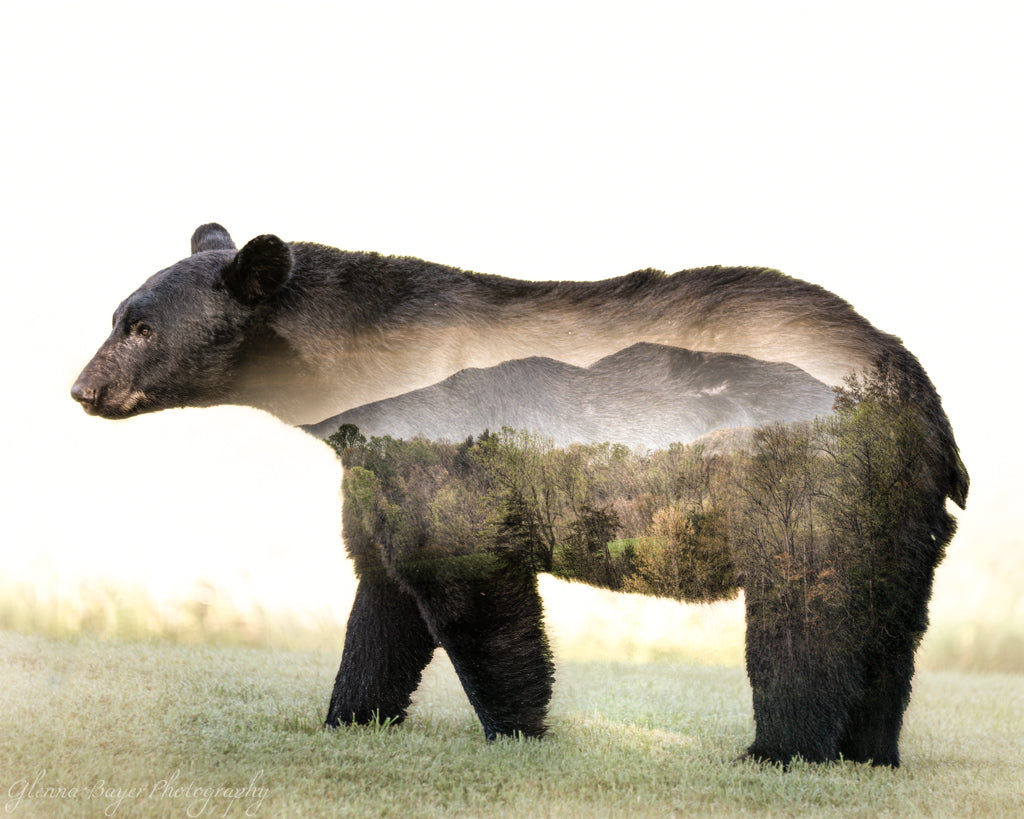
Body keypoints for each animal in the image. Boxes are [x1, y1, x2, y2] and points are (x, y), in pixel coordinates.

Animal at [72, 223, 968, 767]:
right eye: (118, 316)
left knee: (807, 611)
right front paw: (348, 714)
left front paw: (519, 727)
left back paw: (778, 750)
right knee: (891, 624)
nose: (83, 389)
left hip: (810, 472)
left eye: (141, 328)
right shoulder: (379, 459)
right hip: (895, 504)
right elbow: (382, 595)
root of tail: (920, 394)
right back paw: (871, 752)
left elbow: (470, 583)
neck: (362, 368)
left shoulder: (444, 439)